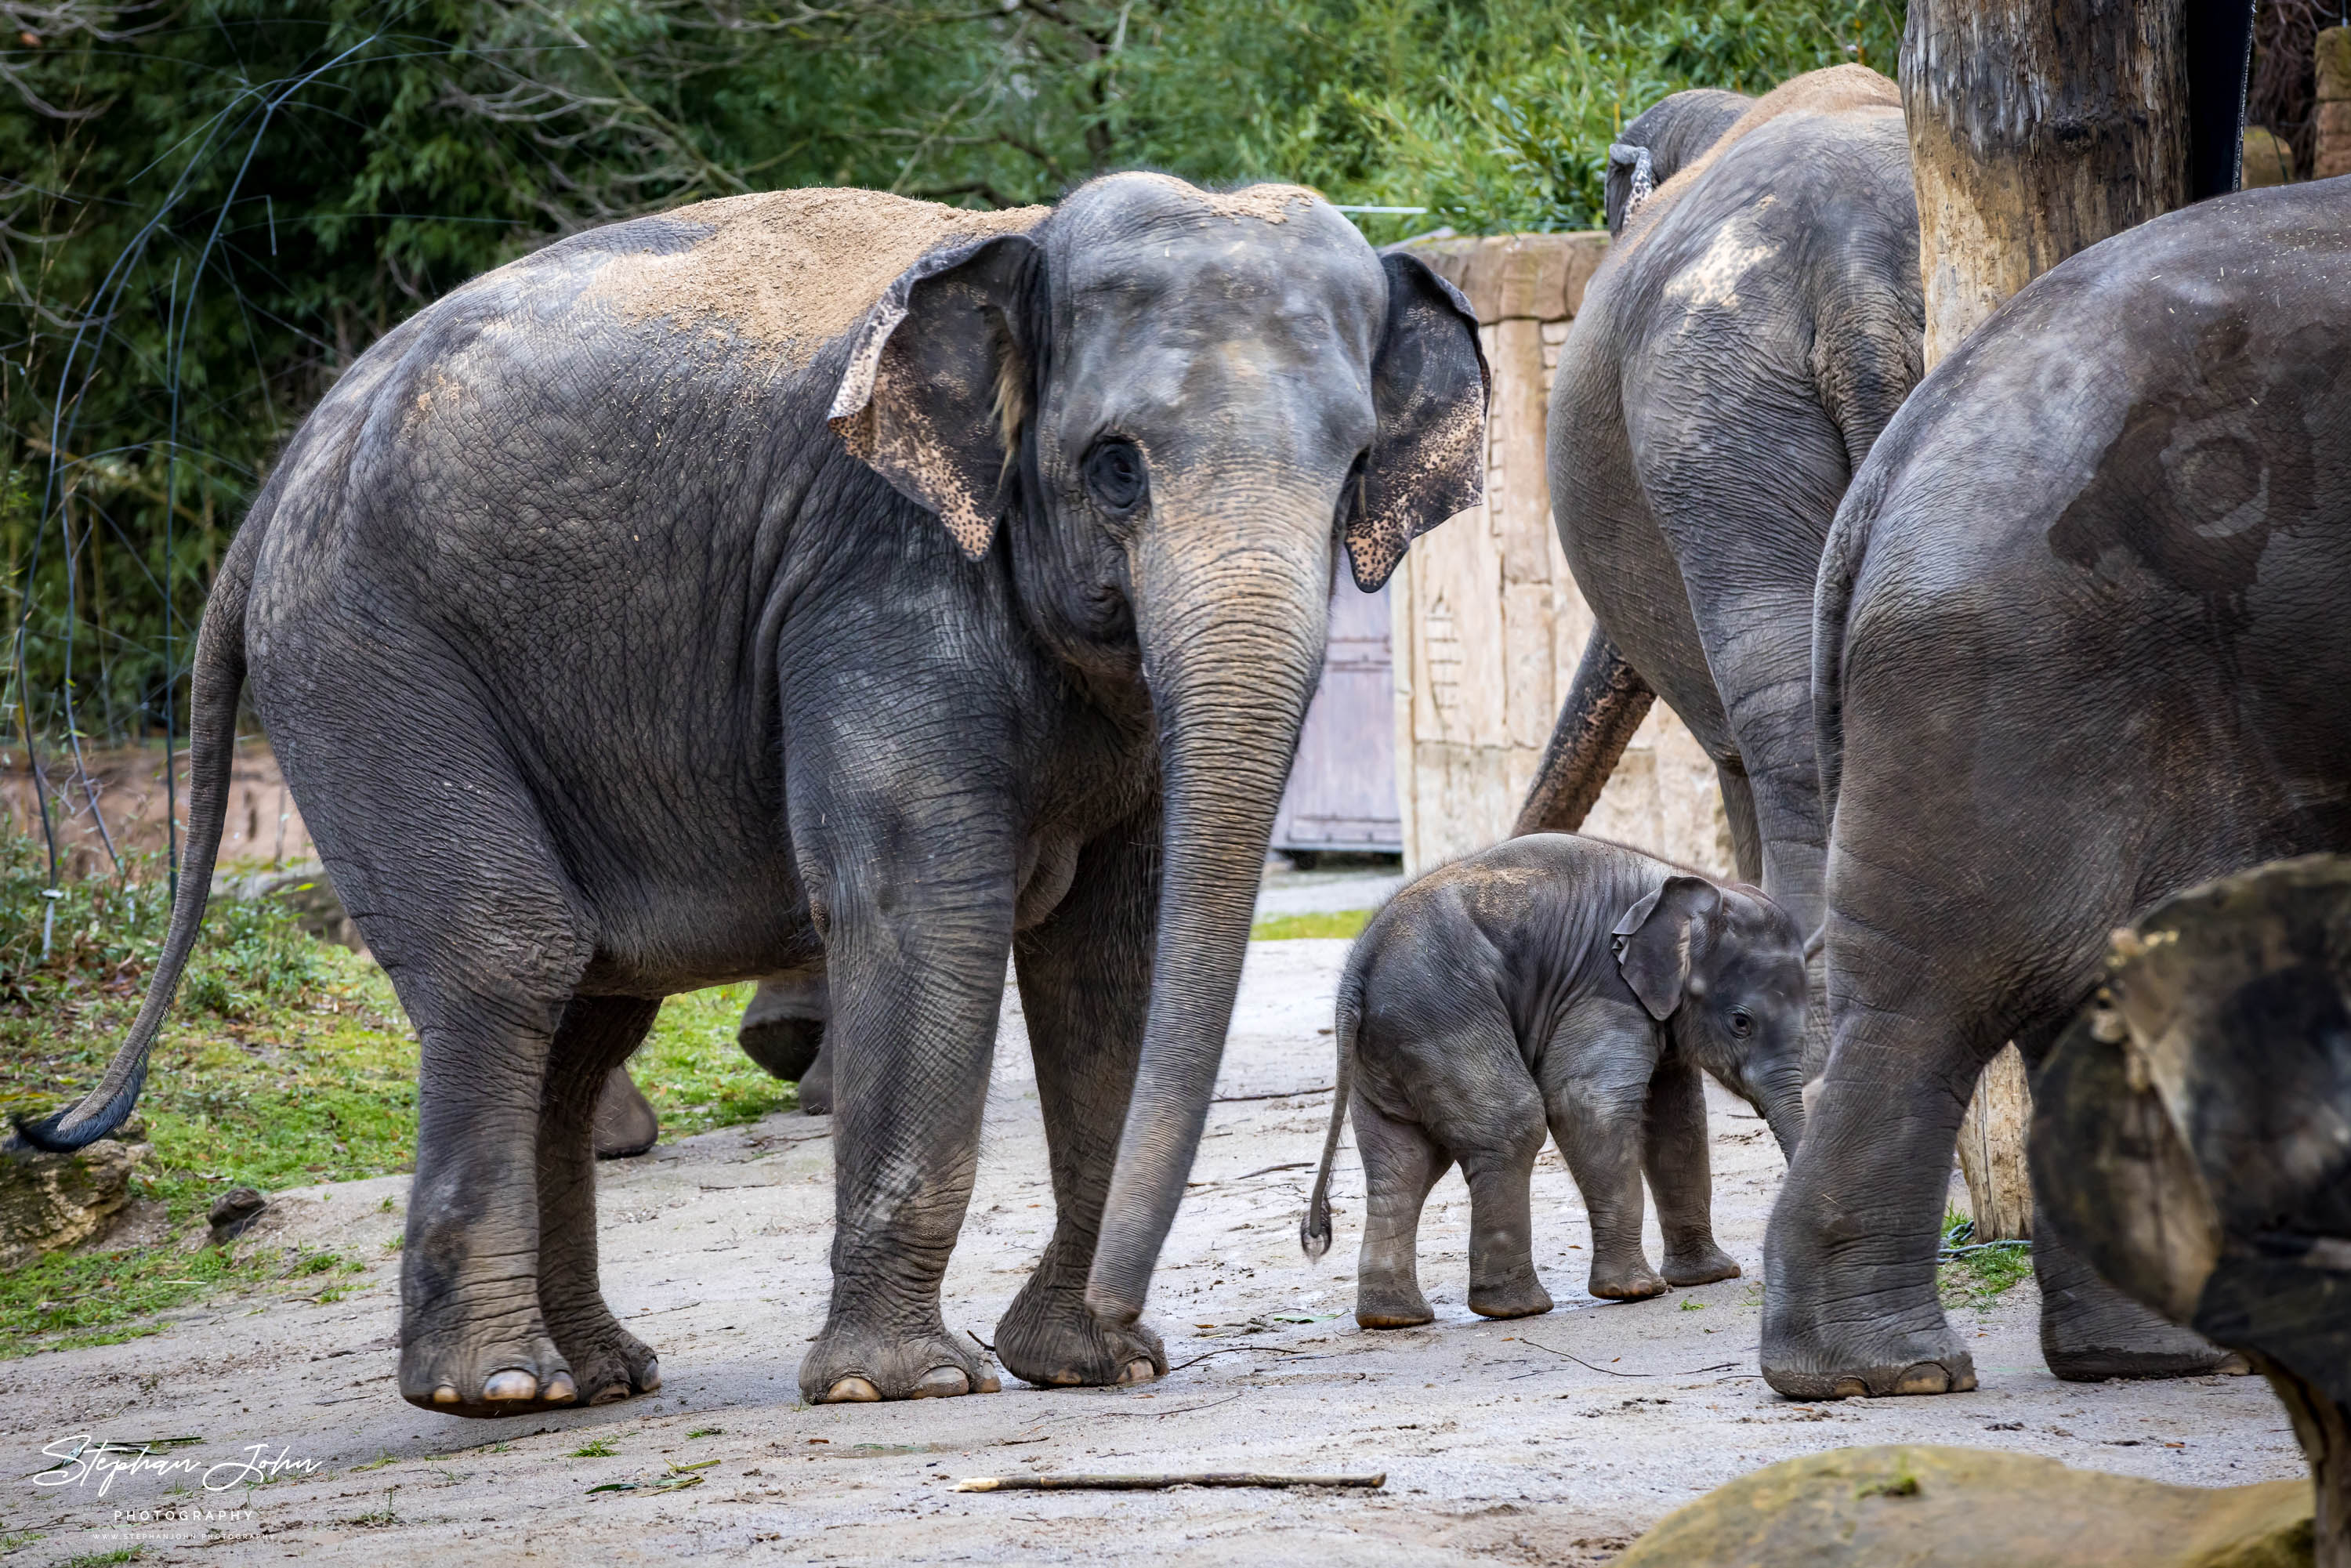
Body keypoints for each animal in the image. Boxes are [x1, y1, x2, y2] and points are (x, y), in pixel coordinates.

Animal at [18, 177, 1486, 1420]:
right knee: (511, 952)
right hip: (365, 656)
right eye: (1115, 466)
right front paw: (908, 1385)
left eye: (1355, 467)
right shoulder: (875, 569)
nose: (1142, 1330)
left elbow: (1107, 951)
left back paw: (595, 1378)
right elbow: (922, 905)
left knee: (586, 1001)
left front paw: (1080, 1363)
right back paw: (498, 1391)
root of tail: (270, 496)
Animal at [1298, 832, 1806, 1326]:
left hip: (1389, 1045)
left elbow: (1679, 1124)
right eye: (1741, 1022)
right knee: (1512, 1126)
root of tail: (1356, 972)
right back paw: (1516, 1308)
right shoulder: (1605, 989)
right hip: (1440, 1014)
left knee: (1403, 1163)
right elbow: (1585, 1105)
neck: (1689, 884)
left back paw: (1395, 1319)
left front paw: (1710, 1277)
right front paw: (1638, 1291)